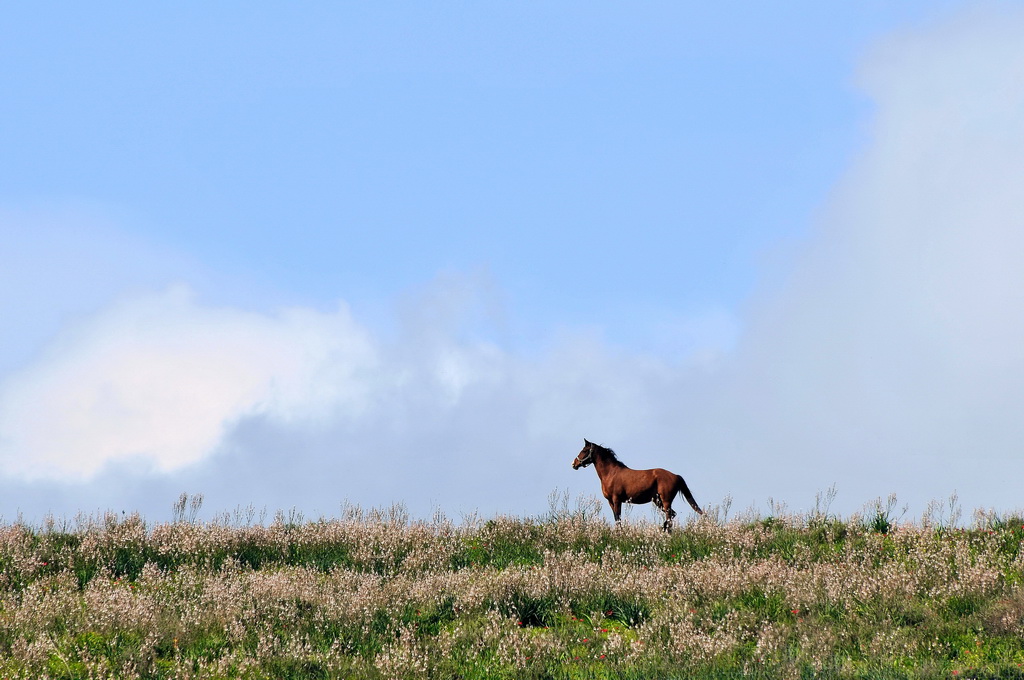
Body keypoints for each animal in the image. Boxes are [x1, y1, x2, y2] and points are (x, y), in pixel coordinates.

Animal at [569, 440, 704, 532]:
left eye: (584, 450)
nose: (573, 464)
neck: (610, 473)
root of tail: (676, 475)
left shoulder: (617, 500)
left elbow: (618, 518)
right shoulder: (610, 502)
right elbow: (616, 518)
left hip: (665, 501)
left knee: (669, 517)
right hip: (658, 501)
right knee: (672, 515)